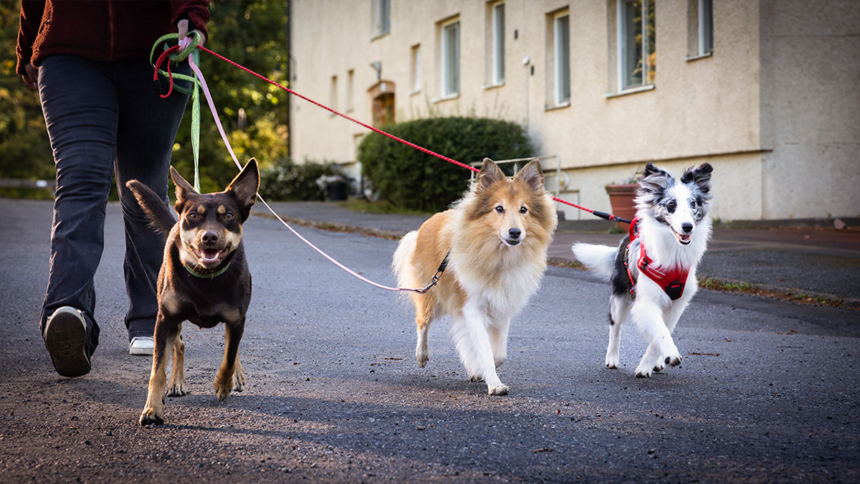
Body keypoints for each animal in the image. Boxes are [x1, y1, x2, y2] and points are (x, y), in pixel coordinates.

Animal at [125, 158, 258, 424]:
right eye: (194, 215)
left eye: (228, 215)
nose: (209, 237)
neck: (206, 277)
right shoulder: (164, 319)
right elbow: (157, 370)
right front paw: (152, 408)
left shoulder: (237, 319)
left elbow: (229, 356)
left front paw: (223, 384)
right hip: (172, 319)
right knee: (179, 345)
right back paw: (176, 383)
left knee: (232, 346)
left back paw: (236, 376)